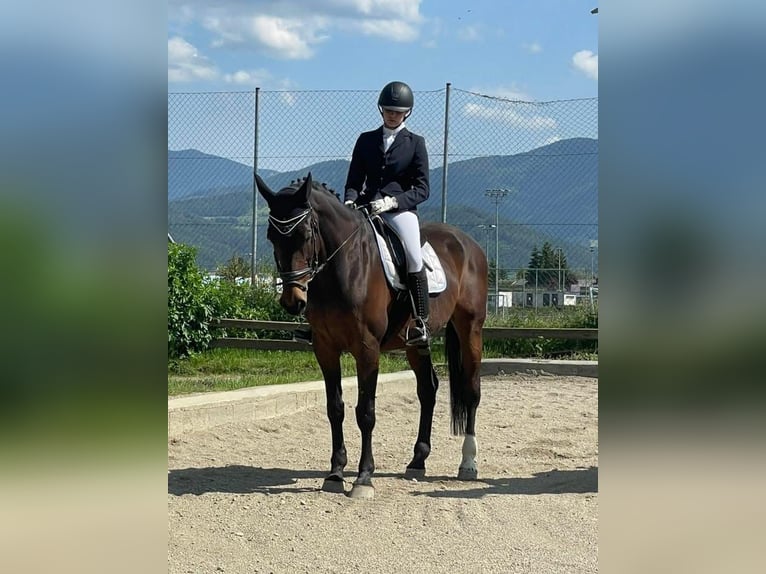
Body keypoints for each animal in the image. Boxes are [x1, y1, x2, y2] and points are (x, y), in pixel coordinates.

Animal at [255, 172, 488, 499]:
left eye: (305, 234)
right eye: (271, 237)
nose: (293, 301)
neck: (343, 267)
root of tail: (467, 242)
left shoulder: (367, 349)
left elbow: (365, 411)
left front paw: (363, 478)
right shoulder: (325, 348)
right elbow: (335, 408)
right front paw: (336, 473)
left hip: (471, 329)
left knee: (472, 390)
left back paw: (468, 463)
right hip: (415, 343)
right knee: (428, 388)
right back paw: (418, 460)